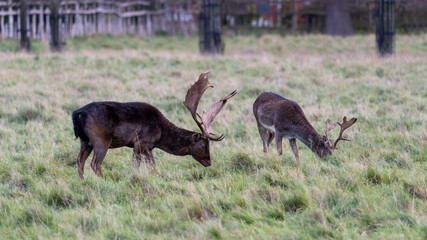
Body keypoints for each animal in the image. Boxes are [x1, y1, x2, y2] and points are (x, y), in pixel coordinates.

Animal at [71, 72, 236, 179]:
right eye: (203, 145)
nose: (209, 162)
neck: (161, 133)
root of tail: (79, 113)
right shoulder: (140, 141)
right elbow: (136, 165)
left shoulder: (149, 147)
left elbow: (153, 165)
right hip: (101, 139)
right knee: (95, 163)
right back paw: (103, 181)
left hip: (85, 140)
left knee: (80, 160)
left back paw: (83, 180)